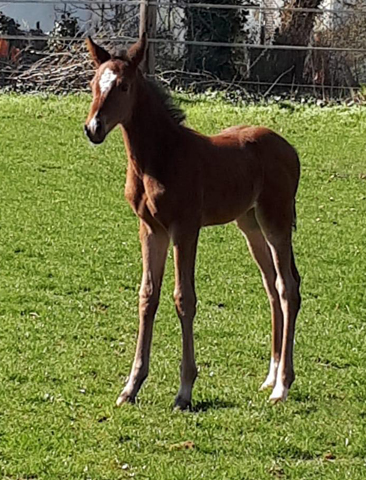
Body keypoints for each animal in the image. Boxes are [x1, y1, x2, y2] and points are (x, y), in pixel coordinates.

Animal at [85, 34, 300, 408]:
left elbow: (184, 298)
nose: (93, 128)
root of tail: (291, 151)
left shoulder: (184, 228)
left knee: (288, 288)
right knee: (272, 285)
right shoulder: (151, 229)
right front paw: (131, 387)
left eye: (123, 86)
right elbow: (147, 296)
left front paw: (184, 390)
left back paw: (282, 386)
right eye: (94, 84)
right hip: (250, 224)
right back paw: (270, 376)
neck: (161, 157)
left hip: (277, 219)